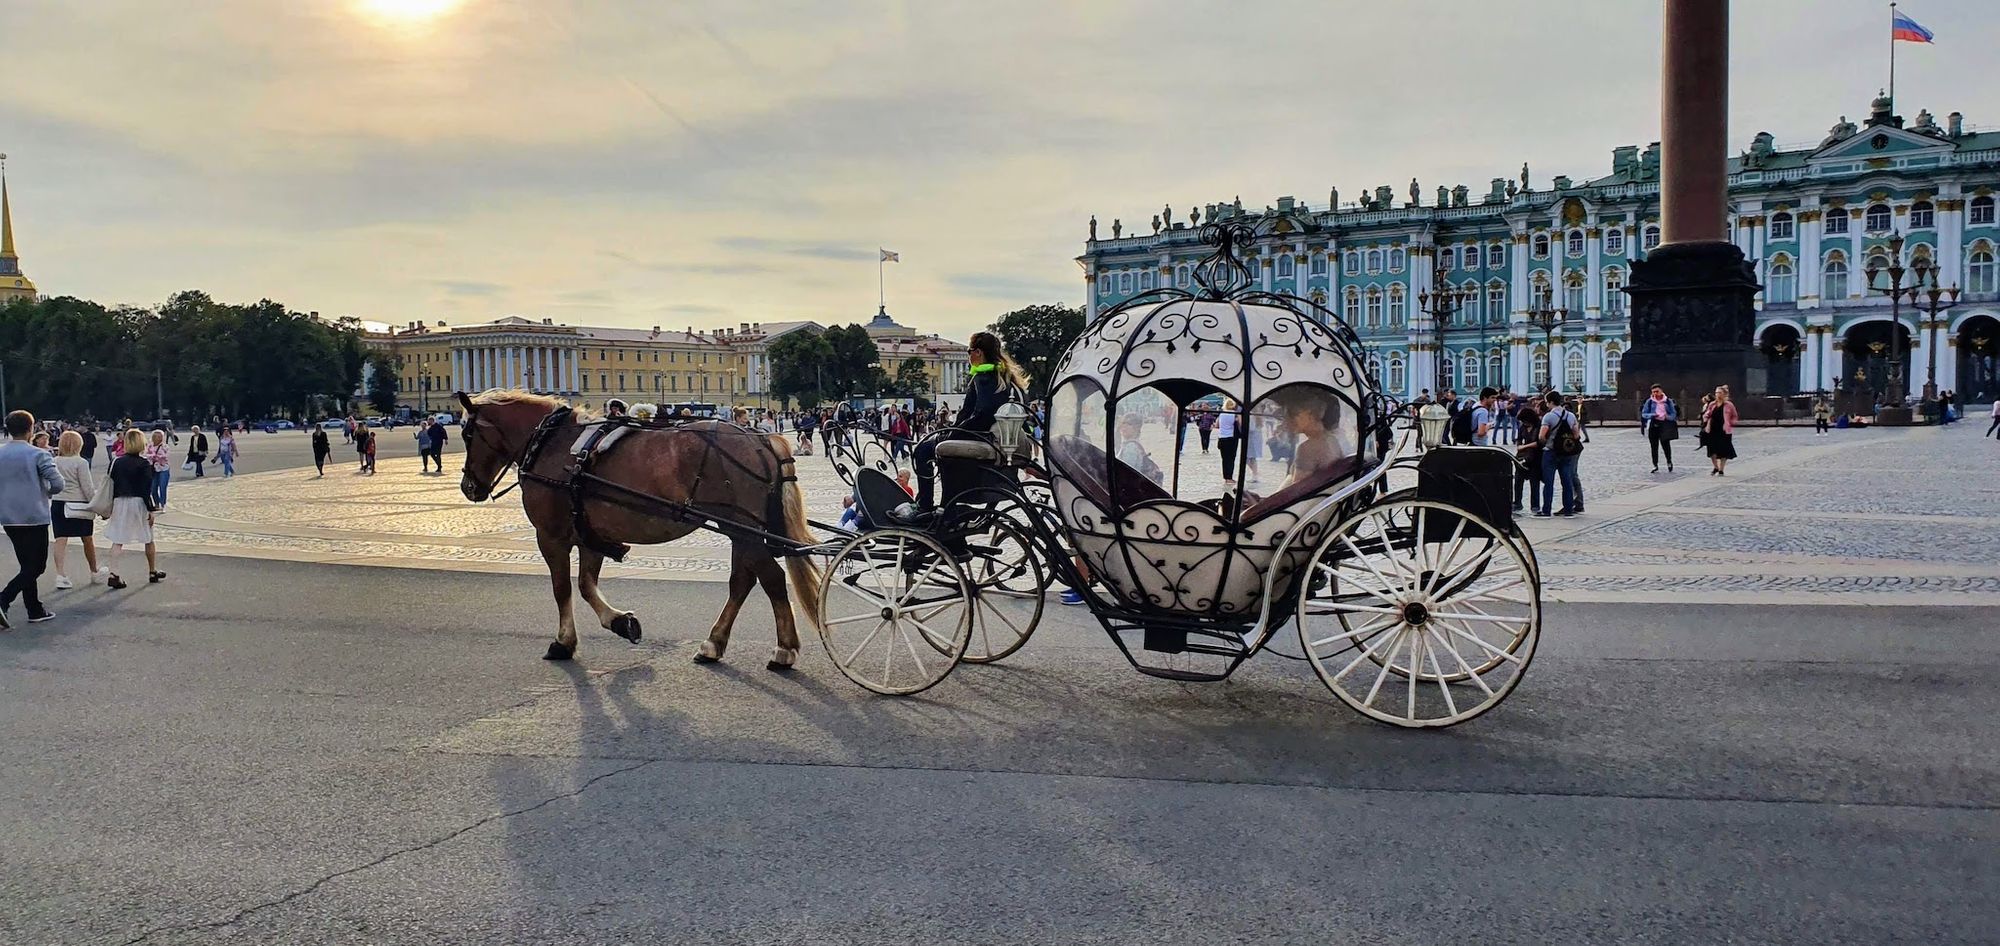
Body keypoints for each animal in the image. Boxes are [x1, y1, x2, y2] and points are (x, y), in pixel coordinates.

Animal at [458, 390, 820, 664]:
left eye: (466, 434)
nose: (467, 487)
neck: (551, 443)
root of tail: (759, 437)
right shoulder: (589, 534)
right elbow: (586, 585)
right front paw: (622, 622)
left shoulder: (551, 536)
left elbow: (562, 588)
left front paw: (563, 642)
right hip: (739, 530)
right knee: (742, 581)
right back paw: (713, 643)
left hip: (743, 528)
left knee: (771, 578)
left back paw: (784, 649)